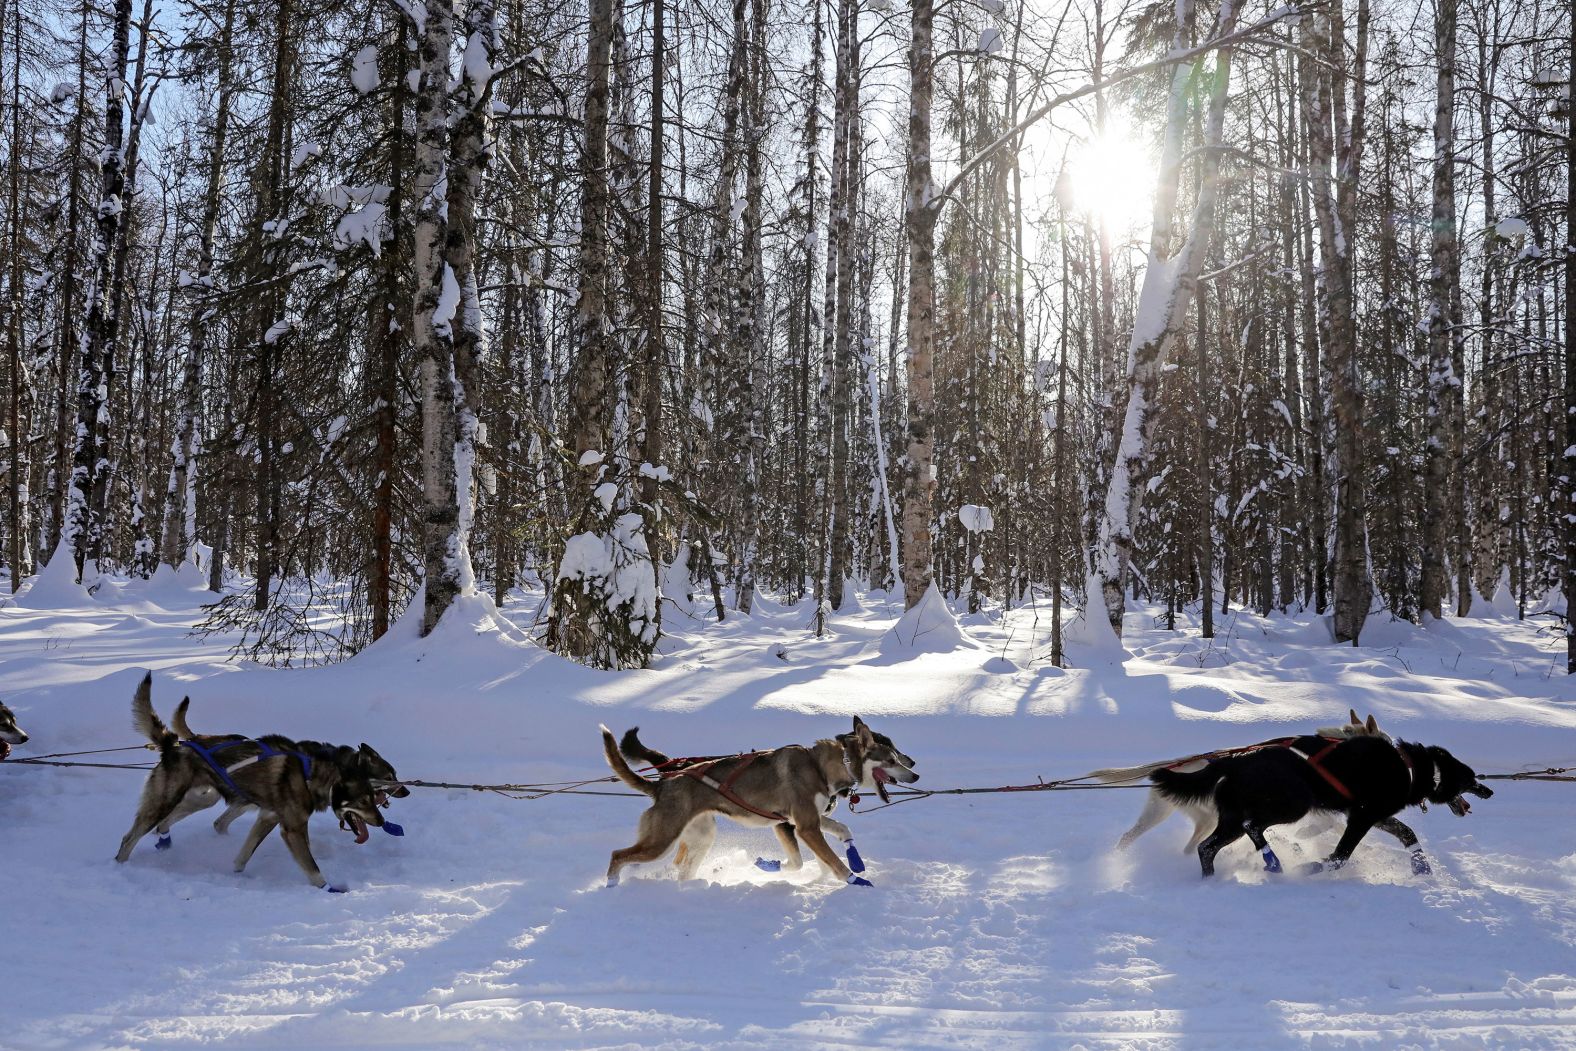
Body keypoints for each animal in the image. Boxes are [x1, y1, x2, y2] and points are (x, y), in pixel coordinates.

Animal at [118, 677, 412, 895]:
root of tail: (174, 744)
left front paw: (236, 874)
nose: (380, 820)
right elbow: (311, 867)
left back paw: (164, 841)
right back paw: (121, 867)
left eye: (371, 798)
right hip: (165, 801)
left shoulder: (268, 818)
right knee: (130, 837)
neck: (311, 774)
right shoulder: (292, 828)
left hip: (202, 798)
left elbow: (244, 855)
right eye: (363, 801)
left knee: (173, 823)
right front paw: (329, 889)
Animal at [1147, 727, 1487, 876]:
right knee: (1252, 825)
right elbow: (1342, 854)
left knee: (1209, 846)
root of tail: (1235, 760)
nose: (1488, 791)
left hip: (1231, 818)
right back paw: (1273, 861)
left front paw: (1421, 867)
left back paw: (1215, 877)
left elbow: (1407, 833)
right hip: (1293, 802)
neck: (1411, 768)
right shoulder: (1362, 817)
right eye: (1470, 778)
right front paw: (1315, 866)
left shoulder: (1374, 815)